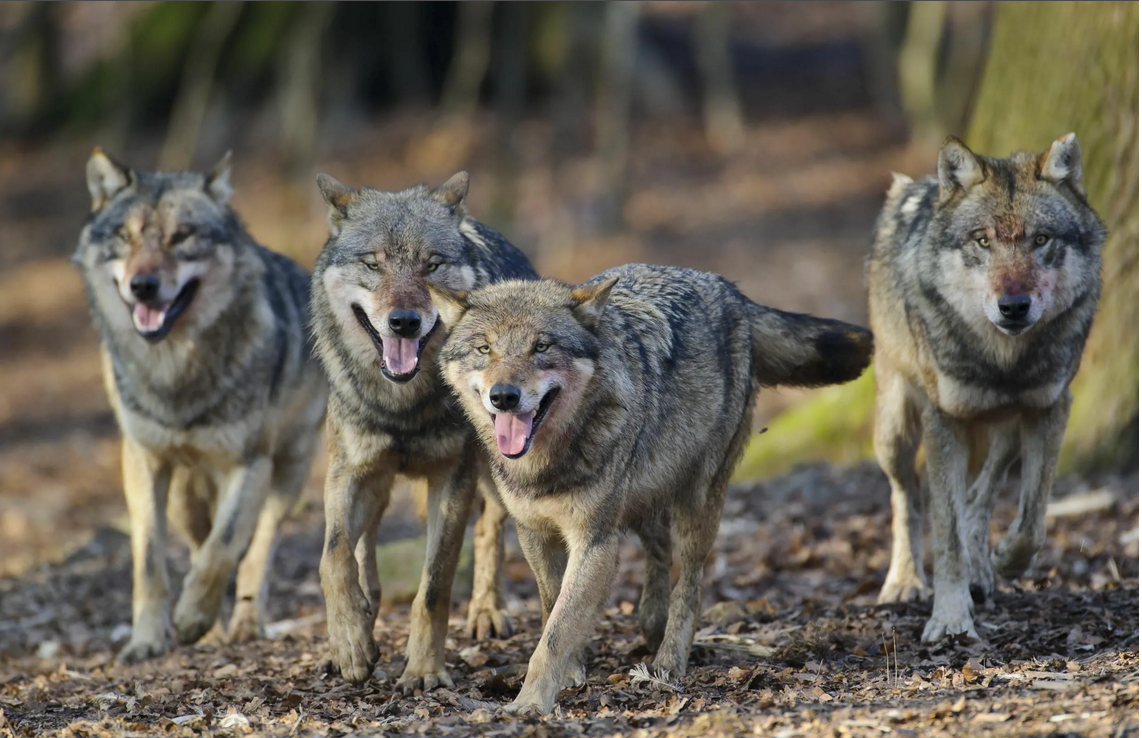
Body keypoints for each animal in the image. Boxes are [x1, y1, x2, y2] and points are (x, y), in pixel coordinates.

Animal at [303, 170, 534, 690]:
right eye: (373, 263)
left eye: (431, 265)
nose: (404, 322)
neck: (403, 406)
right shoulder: (349, 471)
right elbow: (333, 556)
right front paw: (349, 643)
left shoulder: (453, 478)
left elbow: (434, 584)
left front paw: (424, 669)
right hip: (378, 484)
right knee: (364, 549)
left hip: (497, 469)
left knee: (490, 528)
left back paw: (487, 611)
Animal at [867, 135, 1100, 644]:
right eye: (983, 241)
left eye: (1040, 240)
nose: (1013, 306)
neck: (1003, 362)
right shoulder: (945, 421)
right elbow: (946, 533)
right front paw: (950, 617)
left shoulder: (1051, 408)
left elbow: (1032, 520)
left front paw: (1005, 562)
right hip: (895, 430)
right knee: (906, 498)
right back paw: (905, 581)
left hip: (1006, 431)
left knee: (979, 496)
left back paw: (983, 571)